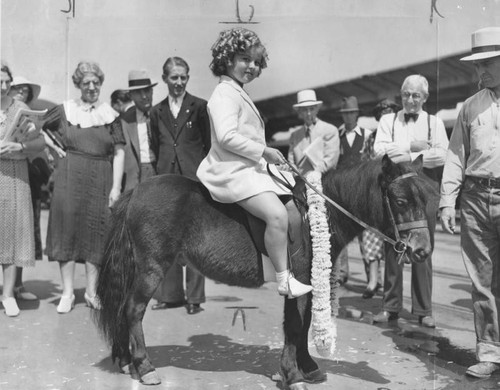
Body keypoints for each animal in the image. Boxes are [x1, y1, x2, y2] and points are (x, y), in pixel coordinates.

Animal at [94, 155, 434, 390]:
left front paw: (307, 367)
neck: (316, 212)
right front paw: (292, 374)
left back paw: (126, 362)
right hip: (151, 267)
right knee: (133, 310)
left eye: (427, 198)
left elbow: (304, 324)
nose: (422, 250)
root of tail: (136, 192)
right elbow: (295, 326)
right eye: (400, 201)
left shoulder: (307, 283)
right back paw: (144, 367)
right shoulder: (298, 280)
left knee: (123, 308)